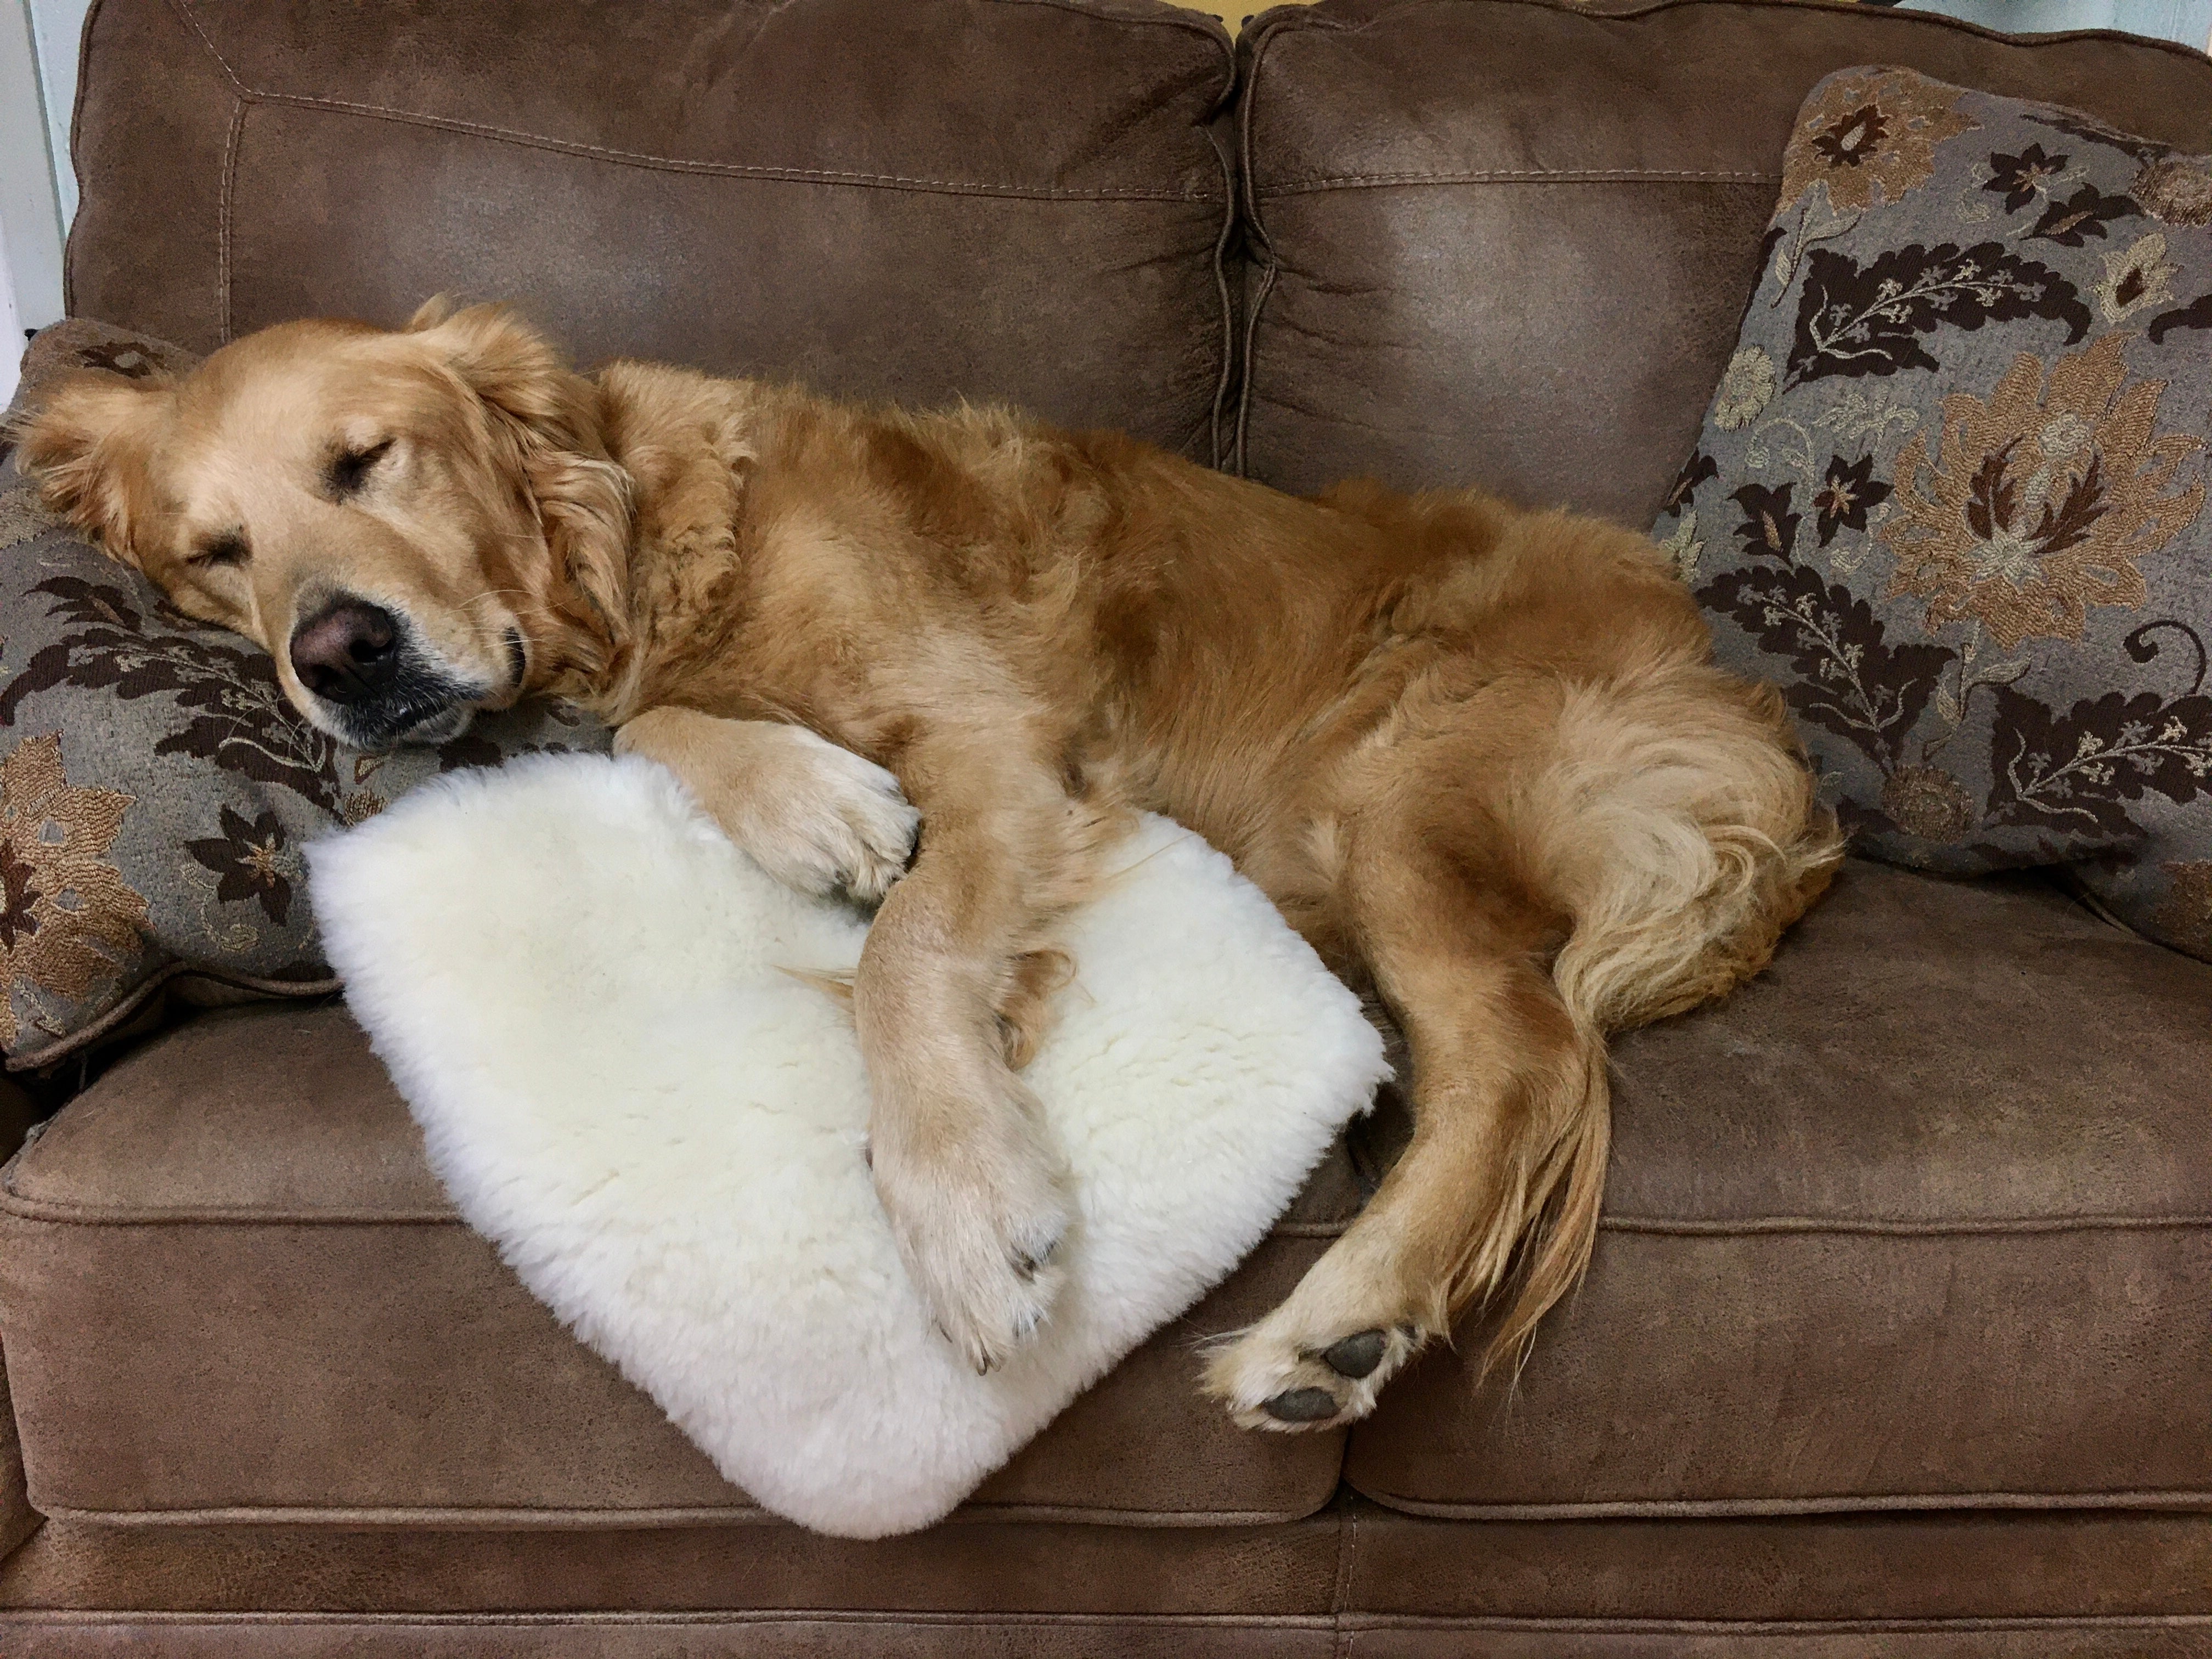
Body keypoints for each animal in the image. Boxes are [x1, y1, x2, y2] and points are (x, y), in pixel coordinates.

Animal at [17, 303, 1840, 1433]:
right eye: (217, 554)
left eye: (366, 459)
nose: (339, 657)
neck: (650, 554)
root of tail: (1741, 715)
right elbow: (665, 729)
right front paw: (811, 800)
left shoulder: (1002, 741)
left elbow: (905, 949)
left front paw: (966, 1206)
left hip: (1392, 786)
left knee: (1522, 1062)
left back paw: (1344, 1318)